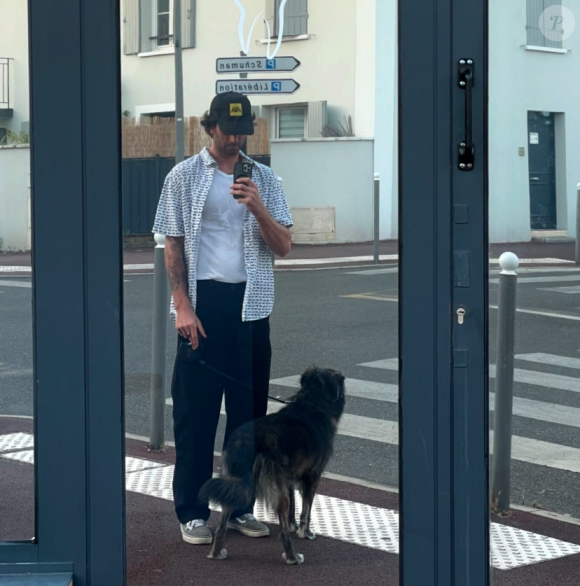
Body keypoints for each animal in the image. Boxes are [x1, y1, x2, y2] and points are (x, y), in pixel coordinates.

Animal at [199, 364, 344, 560]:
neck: (312, 403)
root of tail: (245, 441)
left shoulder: (289, 477)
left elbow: (293, 509)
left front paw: (293, 526)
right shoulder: (312, 477)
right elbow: (306, 511)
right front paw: (305, 533)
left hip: (234, 483)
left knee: (222, 525)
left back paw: (216, 553)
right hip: (275, 488)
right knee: (282, 531)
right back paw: (293, 557)